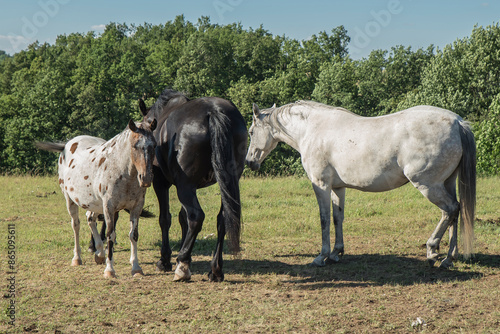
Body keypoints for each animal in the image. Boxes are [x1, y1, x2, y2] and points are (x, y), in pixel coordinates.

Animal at [36, 118, 156, 278]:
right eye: (135, 146)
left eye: (154, 145)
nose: (146, 178)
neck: (123, 172)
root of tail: (67, 145)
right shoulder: (109, 207)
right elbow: (111, 235)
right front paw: (110, 270)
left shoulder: (136, 207)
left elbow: (133, 235)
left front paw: (136, 268)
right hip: (70, 200)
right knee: (76, 225)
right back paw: (77, 258)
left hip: (95, 204)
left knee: (90, 219)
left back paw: (99, 253)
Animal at [139, 88, 248, 282]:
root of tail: (213, 111)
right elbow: (183, 218)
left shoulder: (162, 183)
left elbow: (165, 219)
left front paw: (165, 260)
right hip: (224, 182)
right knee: (222, 219)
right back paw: (215, 269)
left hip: (185, 187)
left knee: (196, 217)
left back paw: (182, 264)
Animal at [246, 101, 476, 268]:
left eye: (250, 132)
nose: (249, 162)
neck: (312, 130)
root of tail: (457, 122)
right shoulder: (338, 188)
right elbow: (337, 218)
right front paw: (336, 253)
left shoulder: (321, 185)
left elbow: (324, 219)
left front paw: (321, 256)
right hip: (447, 183)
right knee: (455, 212)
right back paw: (450, 257)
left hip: (428, 185)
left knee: (450, 209)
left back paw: (433, 250)